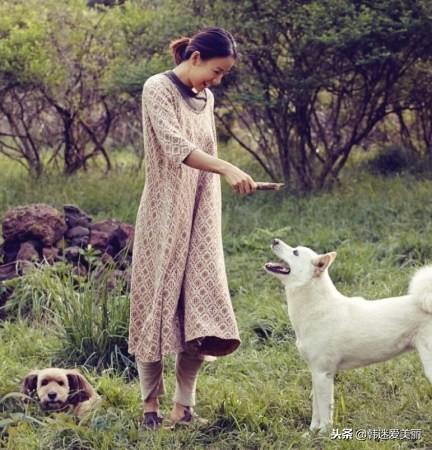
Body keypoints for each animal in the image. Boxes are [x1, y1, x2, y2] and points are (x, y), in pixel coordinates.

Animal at [264, 239, 432, 432]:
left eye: (295, 252)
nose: (274, 240)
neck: (317, 307)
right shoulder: (315, 372)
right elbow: (316, 409)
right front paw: (312, 432)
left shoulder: (323, 374)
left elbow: (324, 410)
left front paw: (324, 433)